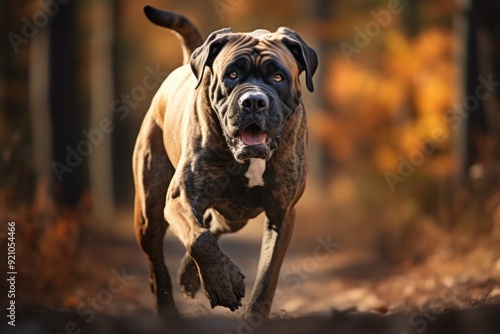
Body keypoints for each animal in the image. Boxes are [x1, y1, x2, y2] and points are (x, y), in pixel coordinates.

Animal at [134, 4, 316, 318]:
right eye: (232, 74)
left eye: (278, 77)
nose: (253, 101)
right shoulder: (181, 199)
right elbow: (198, 238)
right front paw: (223, 284)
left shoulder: (281, 215)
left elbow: (267, 275)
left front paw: (254, 316)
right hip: (149, 210)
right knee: (157, 261)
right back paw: (168, 308)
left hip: (236, 215)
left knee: (214, 222)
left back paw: (189, 277)